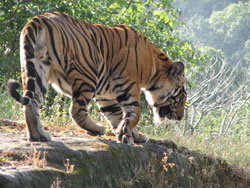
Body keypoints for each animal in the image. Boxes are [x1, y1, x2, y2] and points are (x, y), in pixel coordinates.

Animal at [7, 11, 186, 145]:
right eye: (182, 97)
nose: (180, 117)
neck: (153, 69)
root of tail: (37, 19)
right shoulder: (130, 85)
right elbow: (134, 113)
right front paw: (126, 135)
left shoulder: (106, 95)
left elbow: (117, 116)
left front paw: (130, 134)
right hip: (87, 73)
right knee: (76, 110)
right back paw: (98, 129)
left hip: (37, 69)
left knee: (32, 103)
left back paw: (39, 136)